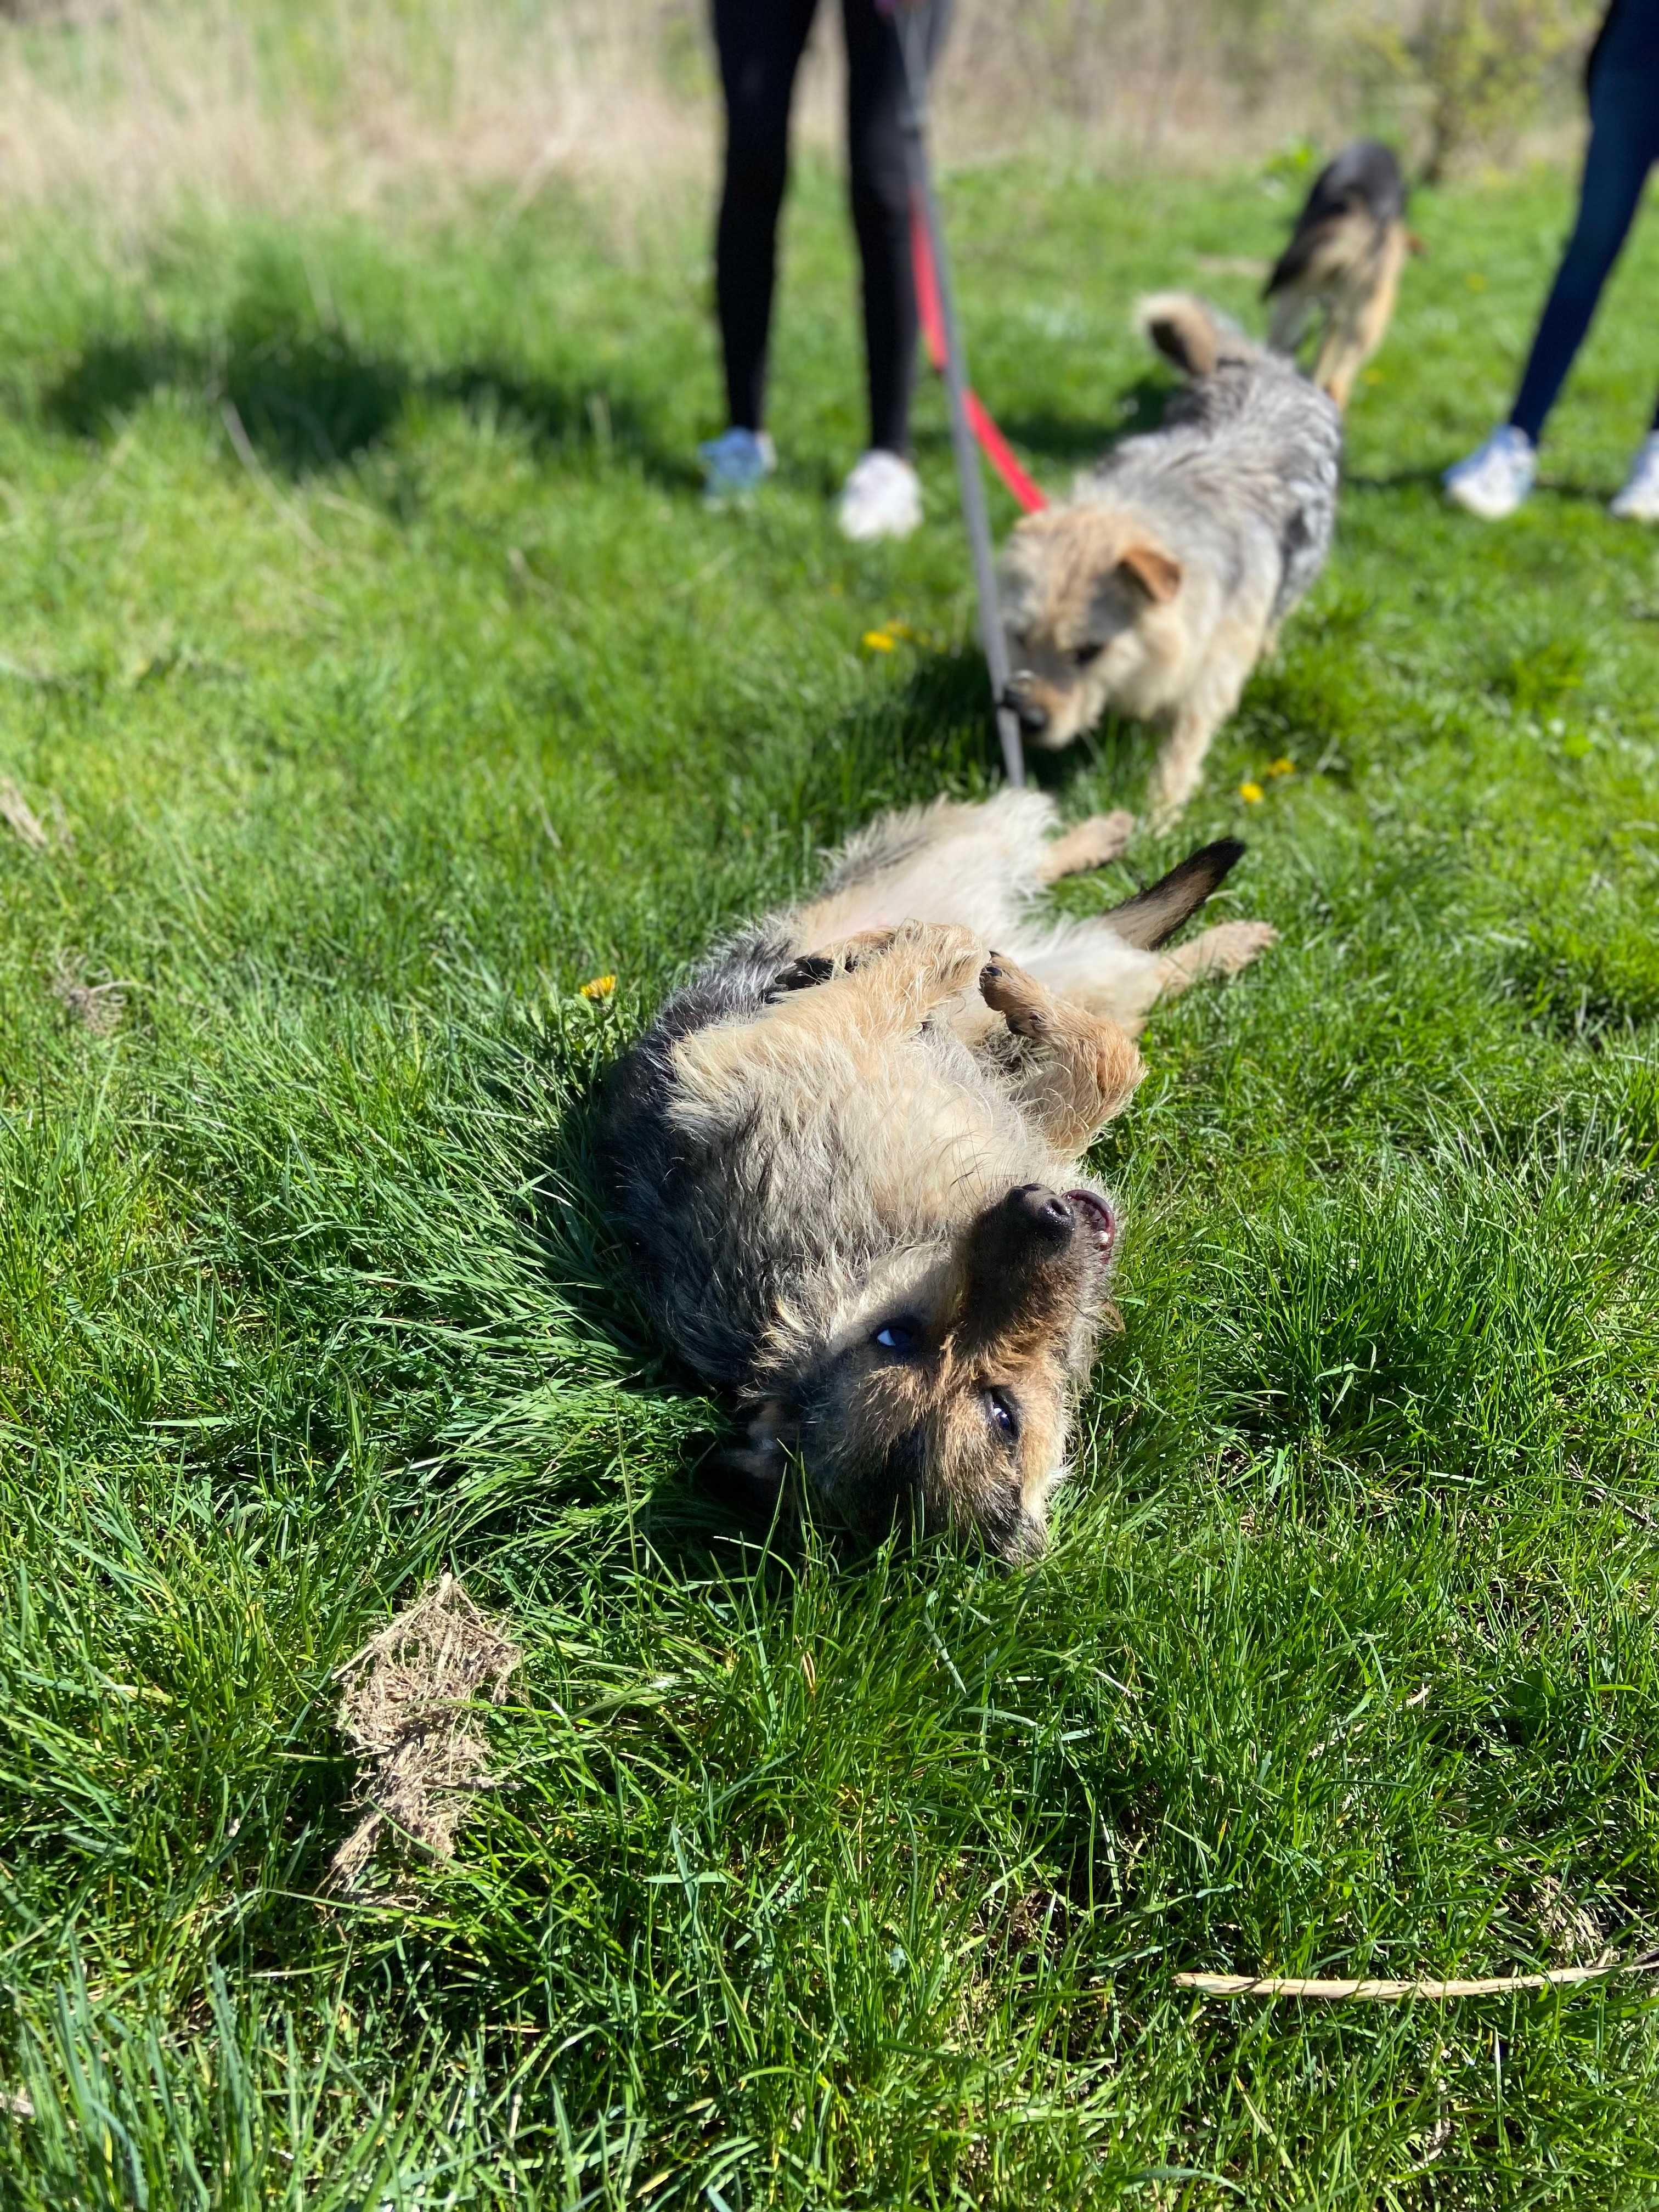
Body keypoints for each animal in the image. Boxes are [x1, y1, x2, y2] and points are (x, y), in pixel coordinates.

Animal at [606, 787, 1283, 1566]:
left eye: (892, 1336)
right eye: (1002, 1415)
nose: (1041, 1209)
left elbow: (1097, 1057)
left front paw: (955, 973)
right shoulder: (770, 1048)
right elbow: (1097, 1050)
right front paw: (962, 966)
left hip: (958, 876)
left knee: (1044, 878)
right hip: (1037, 935)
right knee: (1108, 949)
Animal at [995, 294, 1345, 832]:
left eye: (1089, 652)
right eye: (1019, 635)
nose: (1028, 720)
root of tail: (1263, 364)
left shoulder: (1212, 669)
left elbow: (1182, 745)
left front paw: (1159, 817)